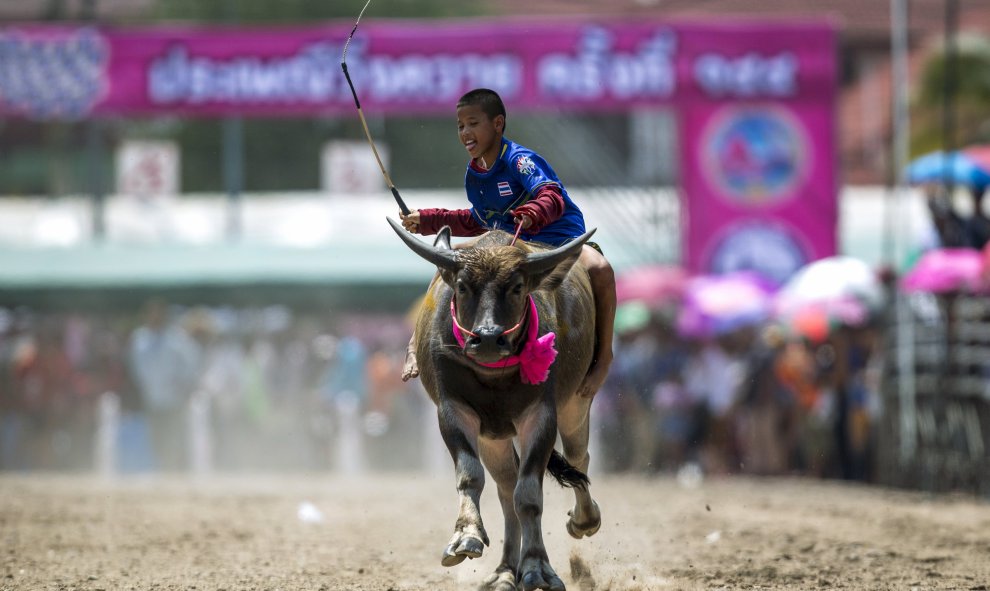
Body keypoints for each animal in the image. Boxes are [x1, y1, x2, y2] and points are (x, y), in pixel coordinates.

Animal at [390, 219, 604, 591]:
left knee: (579, 458)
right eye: (463, 286)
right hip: (495, 437)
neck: (493, 375)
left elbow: (529, 494)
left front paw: (537, 568)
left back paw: (584, 520)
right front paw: (466, 536)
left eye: (517, 287)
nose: (488, 338)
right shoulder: (453, 411)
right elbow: (471, 477)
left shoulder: (541, 415)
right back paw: (505, 572)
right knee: (505, 488)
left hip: (577, 403)